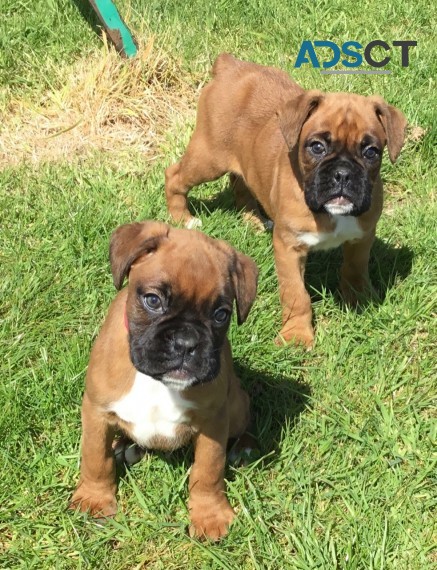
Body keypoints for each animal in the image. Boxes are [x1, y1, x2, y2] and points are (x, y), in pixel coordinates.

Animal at [70, 220, 258, 540]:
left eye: (221, 315)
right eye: (153, 300)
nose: (186, 343)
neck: (156, 382)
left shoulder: (214, 421)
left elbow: (208, 469)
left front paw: (209, 514)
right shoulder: (96, 411)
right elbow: (94, 458)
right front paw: (94, 498)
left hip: (236, 404)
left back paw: (243, 448)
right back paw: (122, 446)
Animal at [165, 54, 408, 346]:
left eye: (371, 152)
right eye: (317, 147)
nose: (342, 174)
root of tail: (231, 65)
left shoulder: (362, 237)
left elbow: (355, 270)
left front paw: (360, 301)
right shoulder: (289, 248)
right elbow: (296, 295)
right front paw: (296, 336)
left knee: (240, 182)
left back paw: (253, 220)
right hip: (208, 158)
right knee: (175, 176)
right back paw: (183, 219)